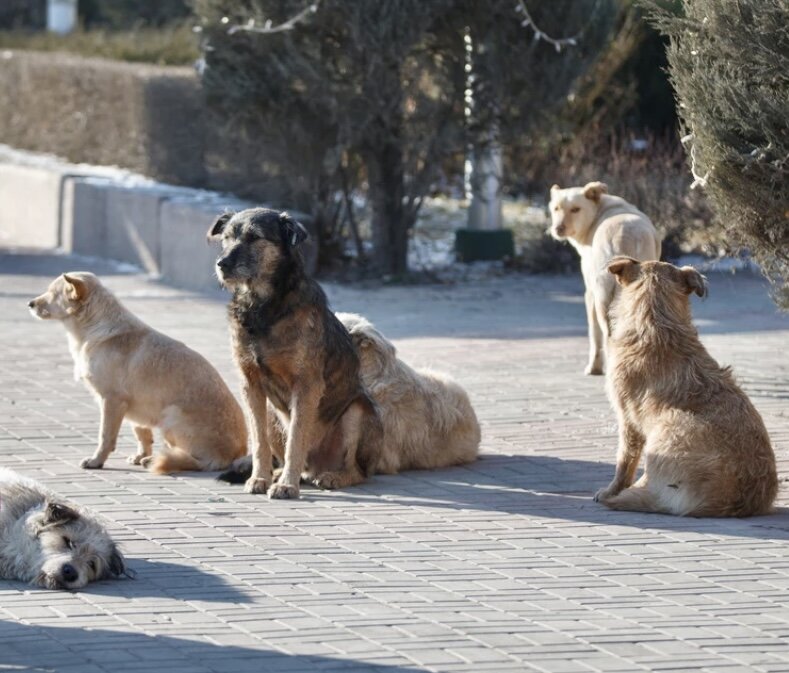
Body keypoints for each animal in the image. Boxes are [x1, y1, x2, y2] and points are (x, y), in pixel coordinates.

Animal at [29, 272, 246, 472]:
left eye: (51, 293)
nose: (30, 304)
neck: (96, 326)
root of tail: (230, 457)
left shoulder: (111, 400)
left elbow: (105, 436)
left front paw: (96, 461)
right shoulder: (132, 408)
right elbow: (142, 434)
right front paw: (140, 455)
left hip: (170, 417)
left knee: (192, 461)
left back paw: (160, 460)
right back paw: (151, 458)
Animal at [209, 207, 382, 496]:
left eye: (254, 237)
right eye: (226, 237)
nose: (221, 264)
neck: (262, 307)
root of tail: (316, 467)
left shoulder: (306, 385)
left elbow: (297, 438)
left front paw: (287, 486)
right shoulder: (250, 383)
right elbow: (260, 442)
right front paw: (260, 478)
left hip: (356, 412)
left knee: (358, 471)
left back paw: (331, 477)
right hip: (271, 413)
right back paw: (279, 474)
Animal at [548, 181, 660, 376]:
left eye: (575, 209)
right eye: (556, 209)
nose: (557, 229)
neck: (598, 210)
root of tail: (627, 235)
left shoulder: (590, 294)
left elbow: (594, 335)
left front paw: (594, 367)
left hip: (603, 297)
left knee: (609, 337)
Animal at [596, 256, 780, 516]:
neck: (656, 324)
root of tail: (736, 502)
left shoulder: (627, 419)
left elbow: (625, 460)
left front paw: (611, 491)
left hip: (667, 426)